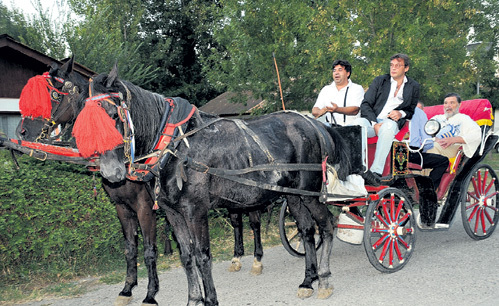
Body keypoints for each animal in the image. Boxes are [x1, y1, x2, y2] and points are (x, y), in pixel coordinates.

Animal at [70, 65, 352, 304]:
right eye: (83, 121)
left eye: (112, 115)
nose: (111, 172)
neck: (175, 146)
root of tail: (313, 124)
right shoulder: (173, 213)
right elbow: (186, 257)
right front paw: (194, 299)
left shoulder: (195, 211)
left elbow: (202, 255)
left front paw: (210, 299)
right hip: (293, 195)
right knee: (306, 230)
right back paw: (307, 280)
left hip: (310, 192)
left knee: (327, 224)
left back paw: (324, 279)